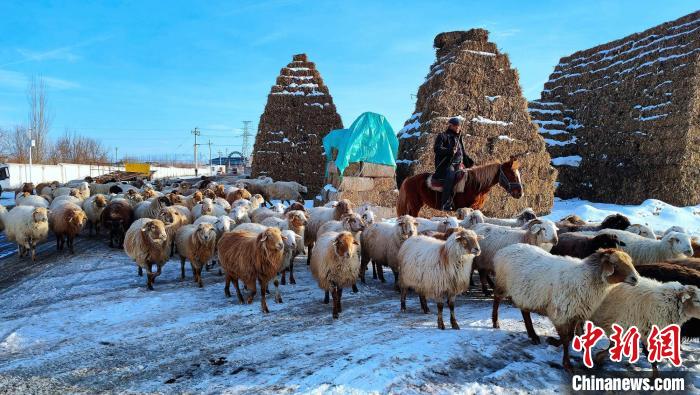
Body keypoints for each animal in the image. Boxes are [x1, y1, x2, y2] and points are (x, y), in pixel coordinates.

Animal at [396, 157, 524, 217]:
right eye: (512, 174)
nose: (520, 193)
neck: (475, 185)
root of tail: (408, 180)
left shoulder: (475, 208)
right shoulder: (464, 208)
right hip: (414, 205)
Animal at [492, 246, 640, 372]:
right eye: (615, 263)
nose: (636, 279)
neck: (587, 278)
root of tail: (504, 249)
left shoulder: (576, 312)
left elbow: (571, 336)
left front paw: (555, 343)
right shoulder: (562, 313)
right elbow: (566, 338)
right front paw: (567, 364)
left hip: (527, 294)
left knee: (524, 311)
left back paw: (533, 335)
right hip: (502, 283)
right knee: (497, 298)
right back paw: (495, 322)